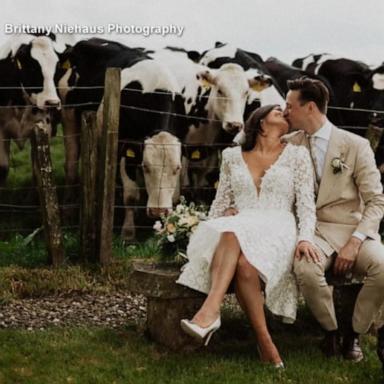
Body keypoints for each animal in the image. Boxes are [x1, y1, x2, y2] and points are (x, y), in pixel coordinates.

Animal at [0, 35, 63, 184]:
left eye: (56, 68)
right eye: (33, 68)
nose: (52, 103)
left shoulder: (42, 128)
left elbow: (39, 171)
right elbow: (3, 168)